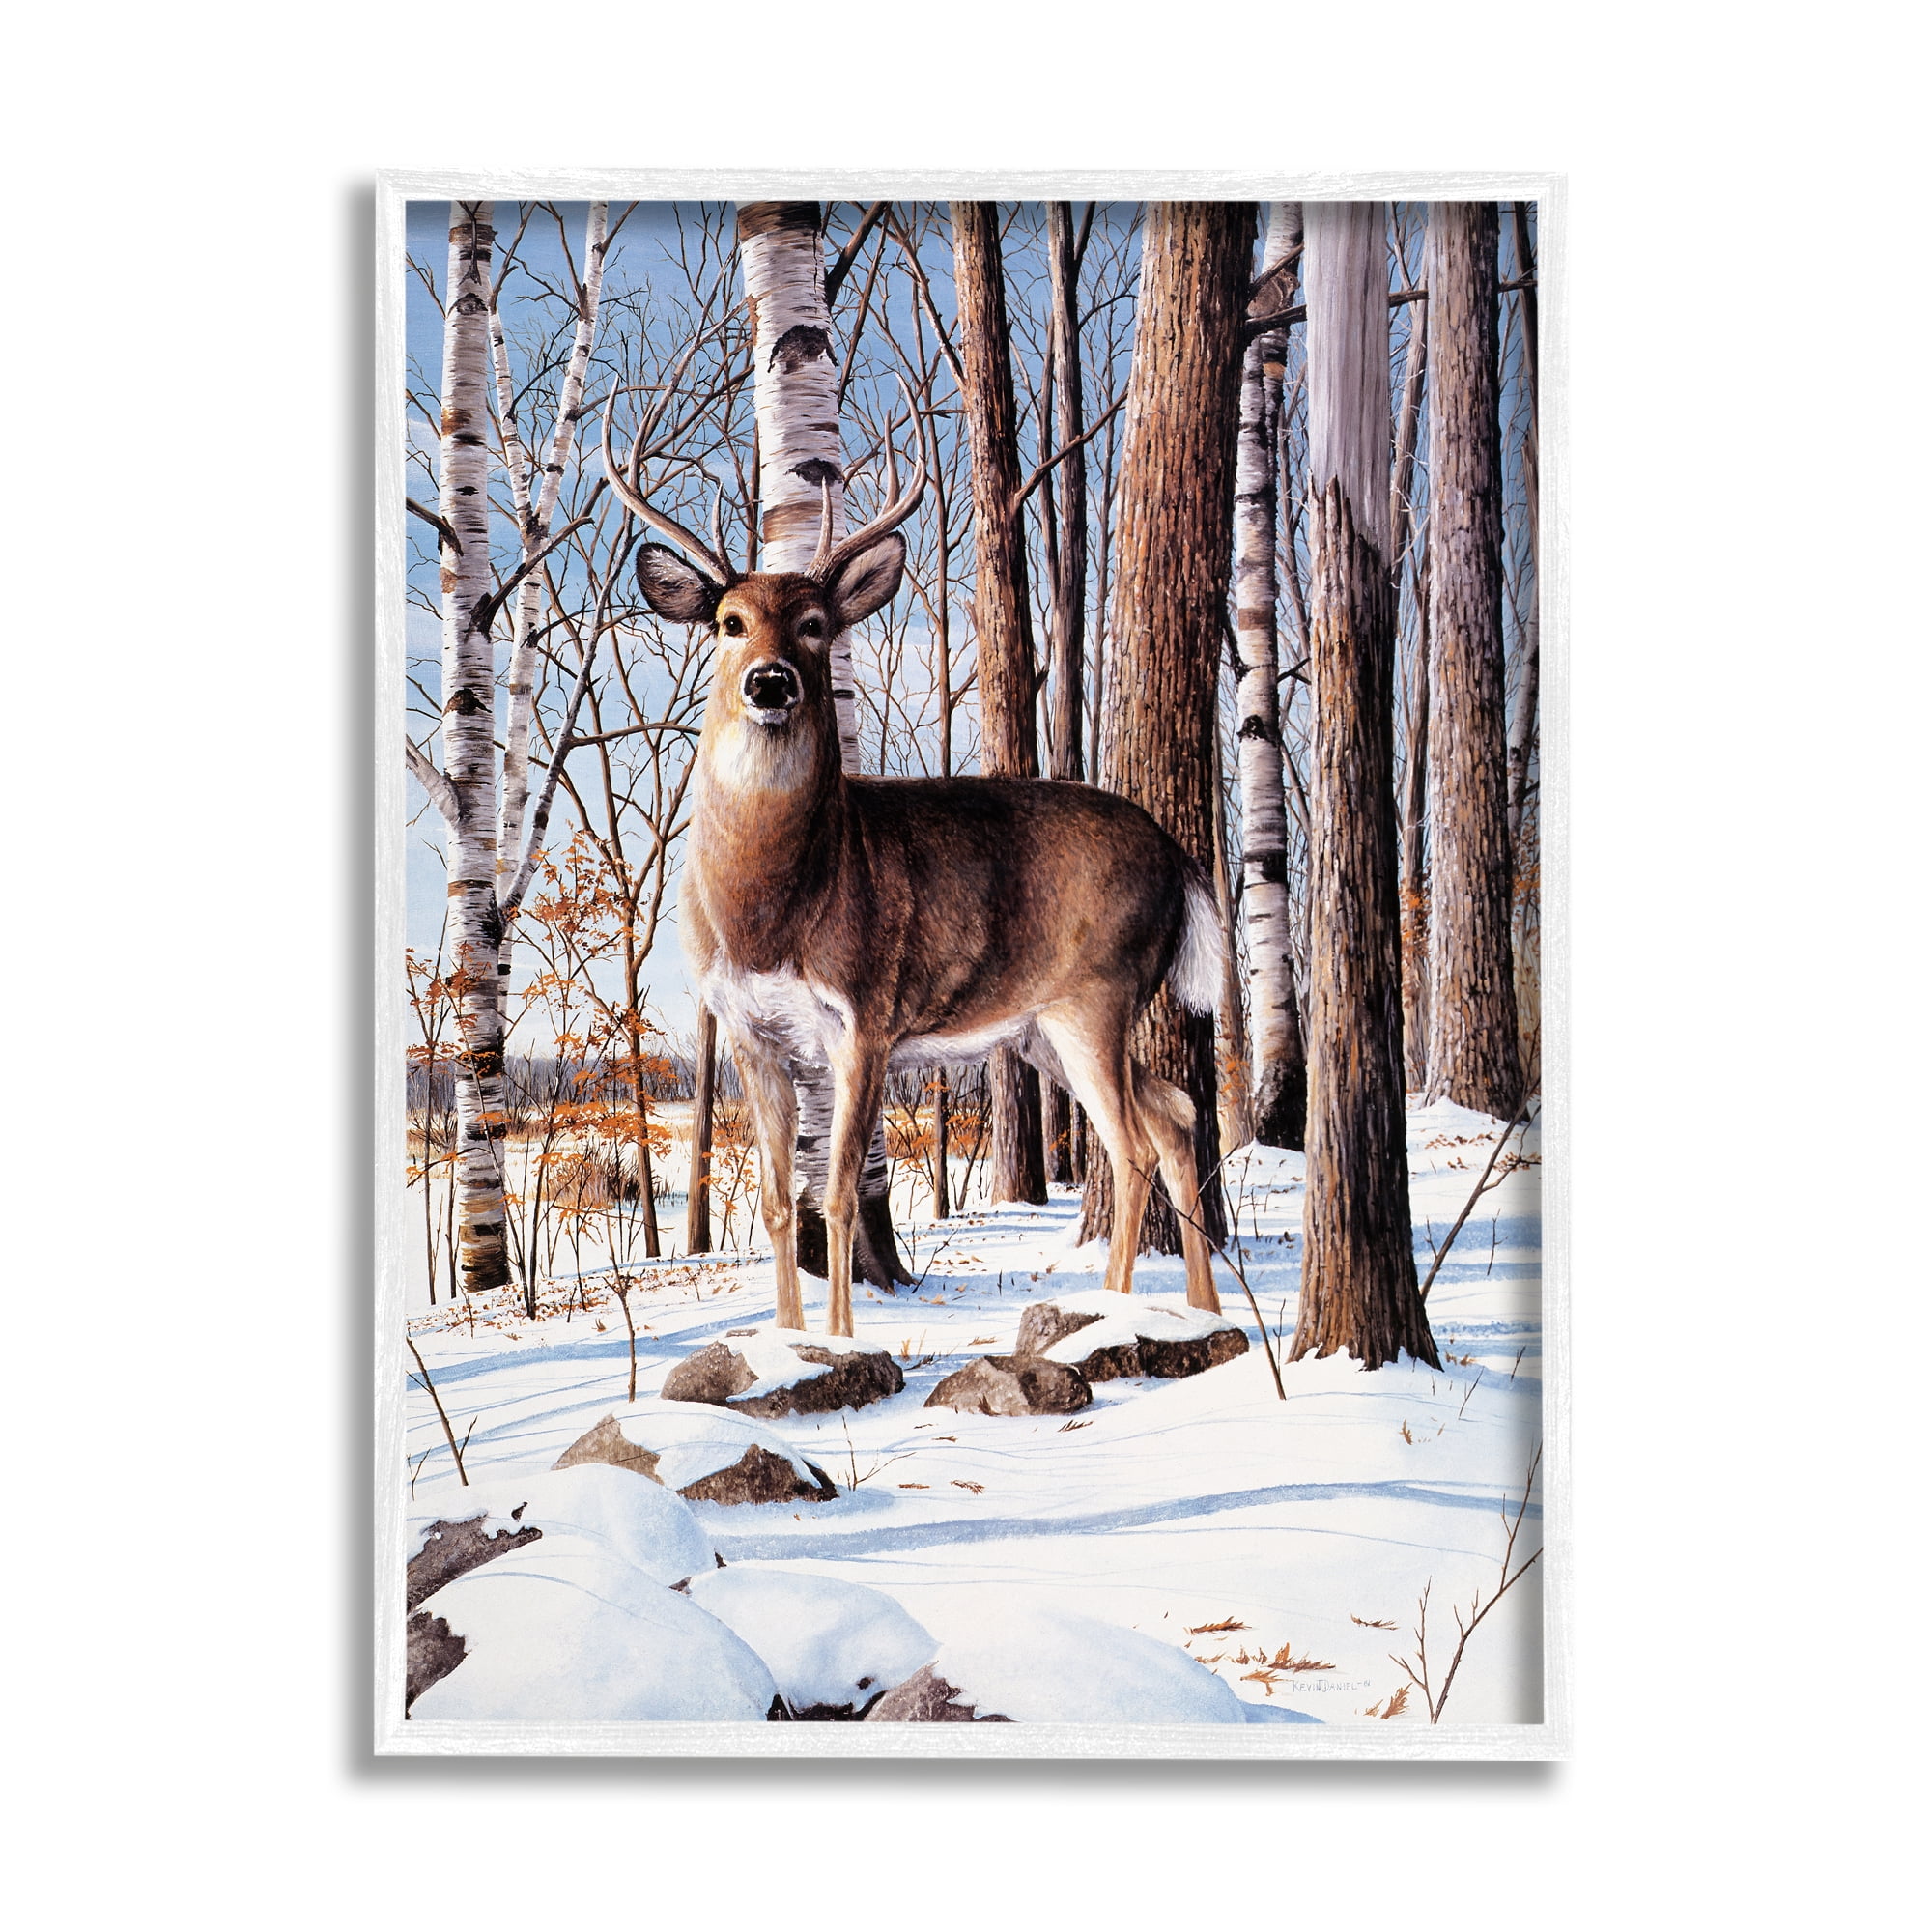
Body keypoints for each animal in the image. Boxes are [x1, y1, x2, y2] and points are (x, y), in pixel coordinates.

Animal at [603, 400, 1227, 1340]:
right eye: (729, 622)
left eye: (815, 623)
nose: (771, 683)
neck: (770, 910)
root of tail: (1179, 856)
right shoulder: (748, 1029)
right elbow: (781, 1204)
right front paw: (788, 1339)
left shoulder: (865, 1014)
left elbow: (837, 1196)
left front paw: (835, 1340)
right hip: (1040, 1027)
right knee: (1178, 1113)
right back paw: (1201, 1312)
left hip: (1099, 993)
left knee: (1131, 1146)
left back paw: (1117, 1312)